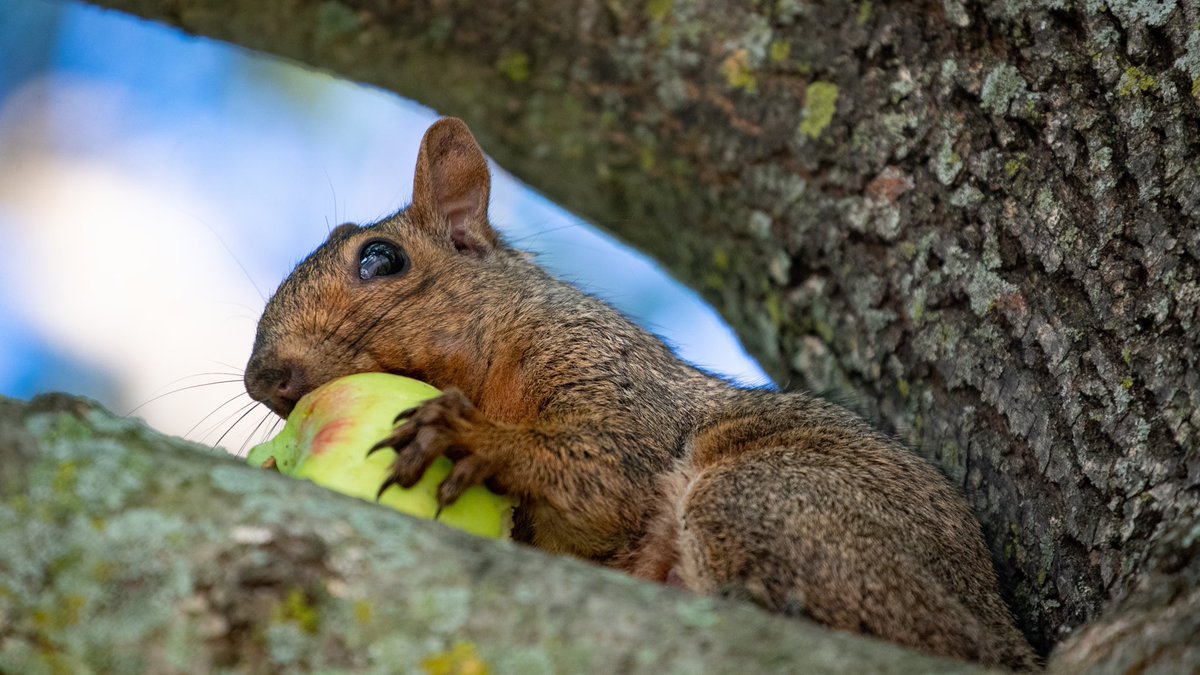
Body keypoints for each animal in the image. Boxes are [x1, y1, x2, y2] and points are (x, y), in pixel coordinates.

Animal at [244, 118, 1039, 670]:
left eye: (381, 259)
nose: (260, 378)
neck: (493, 354)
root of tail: (1004, 636)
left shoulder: (612, 376)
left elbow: (605, 473)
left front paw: (469, 437)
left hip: (770, 500)